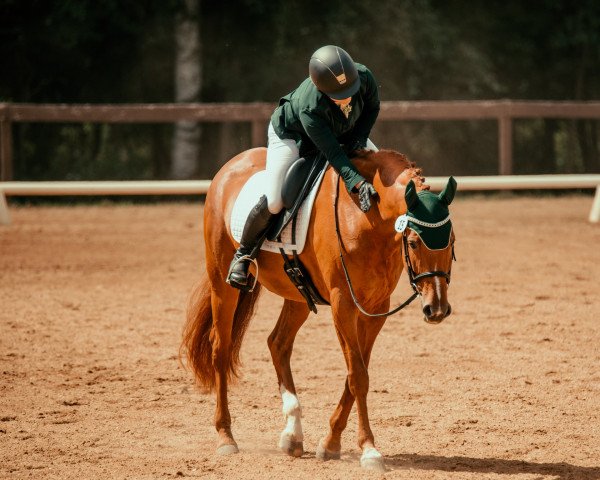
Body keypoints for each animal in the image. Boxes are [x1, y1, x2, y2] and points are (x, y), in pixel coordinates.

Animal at [180, 148, 458, 470]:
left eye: (451, 241)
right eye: (413, 243)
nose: (436, 309)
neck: (367, 218)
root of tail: (230, 166)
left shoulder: (376, 308)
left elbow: (356, 373)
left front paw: (331, 443)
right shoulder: (343, 304)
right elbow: (358, 376)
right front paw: (369, 450)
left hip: (298, 295)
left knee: (277, 343)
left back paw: (293, 435)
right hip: (222, 283)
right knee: (220, 350)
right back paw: (226, 437)